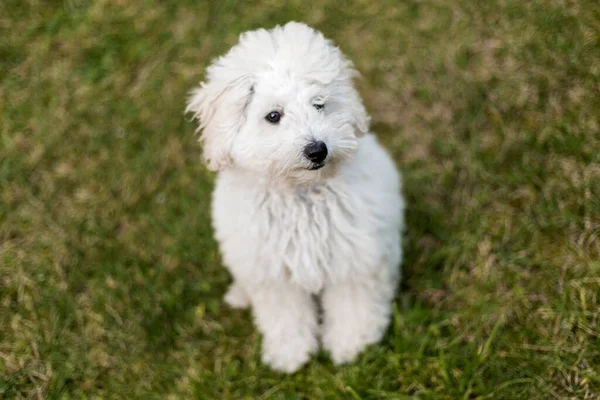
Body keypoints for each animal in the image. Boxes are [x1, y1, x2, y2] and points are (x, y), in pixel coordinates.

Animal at [185, 21, 406, 372]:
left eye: (319, 104)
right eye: (273, 116)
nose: (317, 150)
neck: (301, 193)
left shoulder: (353, 261)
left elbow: (352, 307)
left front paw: (351, 346)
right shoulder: (273, 276)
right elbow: (284, 316)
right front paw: (290, 354)